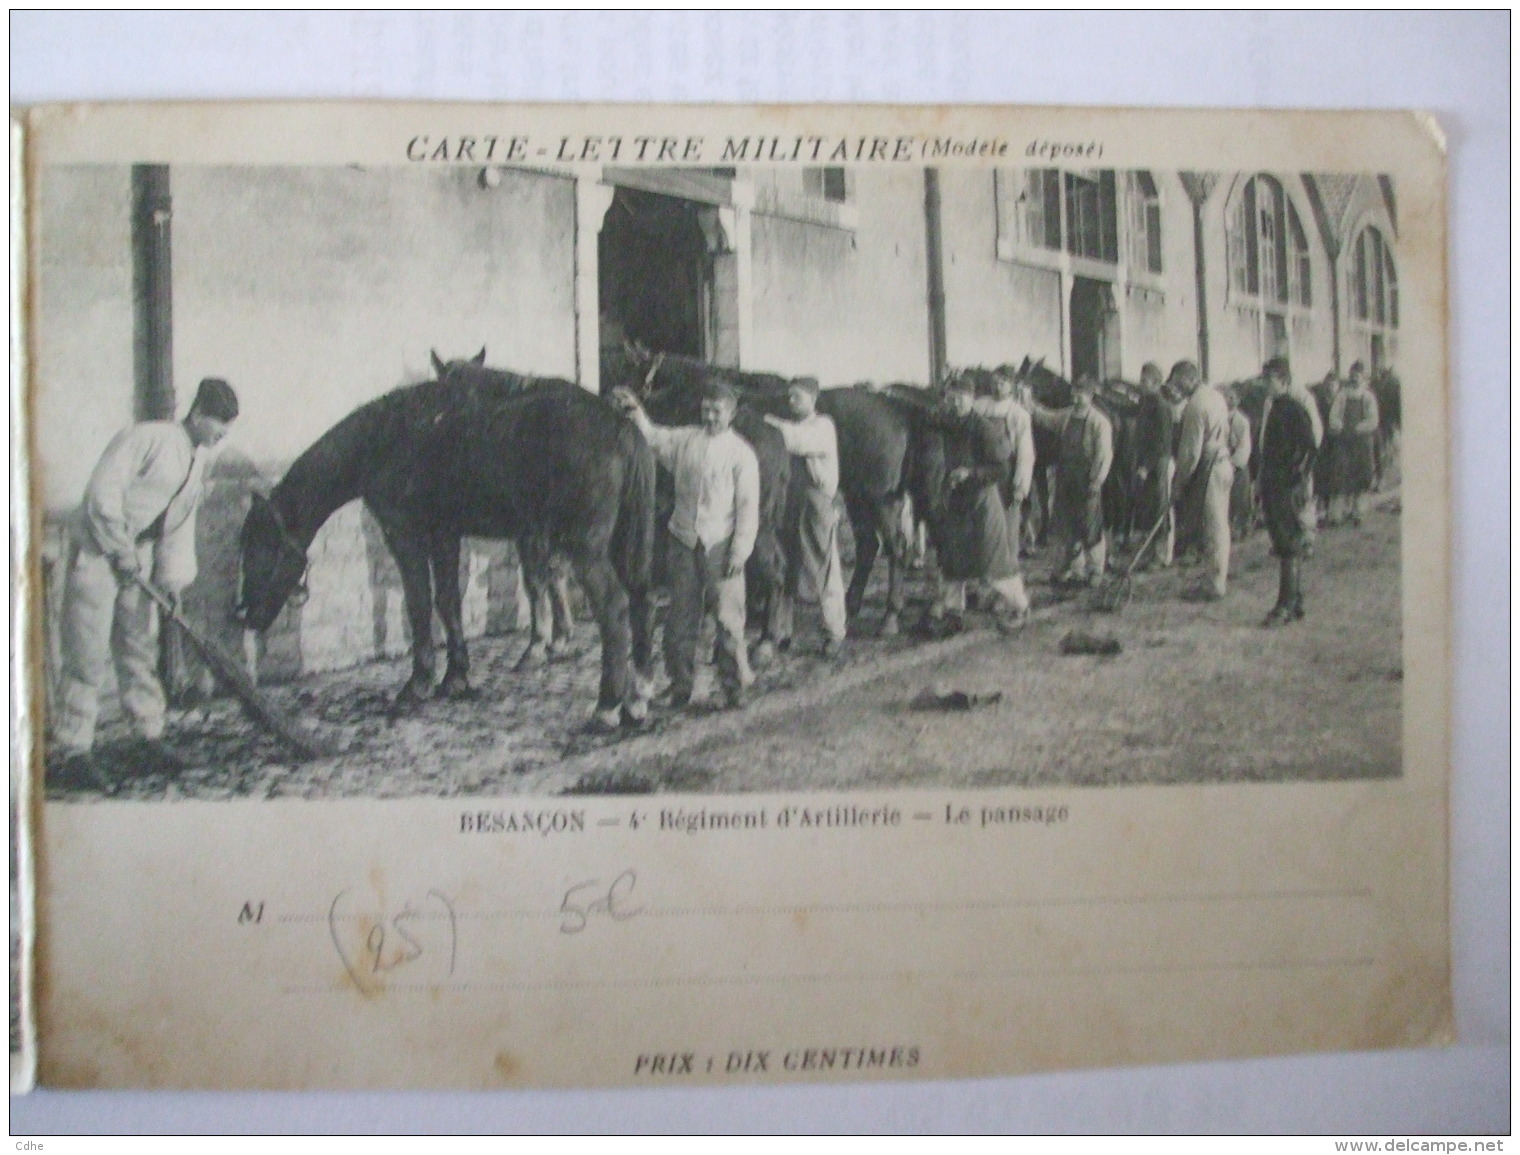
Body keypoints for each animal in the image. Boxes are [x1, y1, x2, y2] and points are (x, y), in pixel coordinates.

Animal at [238, 348, 659, 729]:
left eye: (264, 548)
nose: (247, 615)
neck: (387, 438)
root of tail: (620, 428)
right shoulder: (444, 534)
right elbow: (447, 601)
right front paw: (456, 676)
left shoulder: (404, 534)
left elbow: (420, 604)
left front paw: (419, 682)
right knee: (641, 599)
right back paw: (637, 698)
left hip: (586, 548)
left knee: (614, 608)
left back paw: (607, 706)